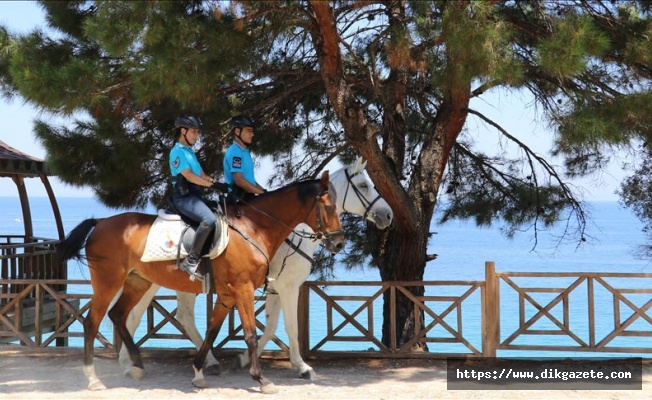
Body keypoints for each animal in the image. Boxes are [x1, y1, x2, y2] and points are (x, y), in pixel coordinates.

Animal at [57, 170, 346, 392]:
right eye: (329, 207)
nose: (339, 243)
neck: (254, 228)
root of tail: (101, 222)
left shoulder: (229, 294)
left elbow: (212, 331)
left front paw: (199, 371)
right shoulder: (245, 290)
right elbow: (251, 334)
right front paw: (261, 379)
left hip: (137, 281)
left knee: (118, 315)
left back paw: (137, 365)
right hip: (108, 283)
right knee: (92, 322)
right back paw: (94, 378)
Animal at [118, 156, 392, 378]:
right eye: (364, 185)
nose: (388, 215)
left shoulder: (275, 288)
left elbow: (270, 328)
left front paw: (246, 360)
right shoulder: (287, 287)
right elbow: (290, 326)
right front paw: (302, 366)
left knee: (177, 317)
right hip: (153, 282)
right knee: (137, 315)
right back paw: (130, 363)